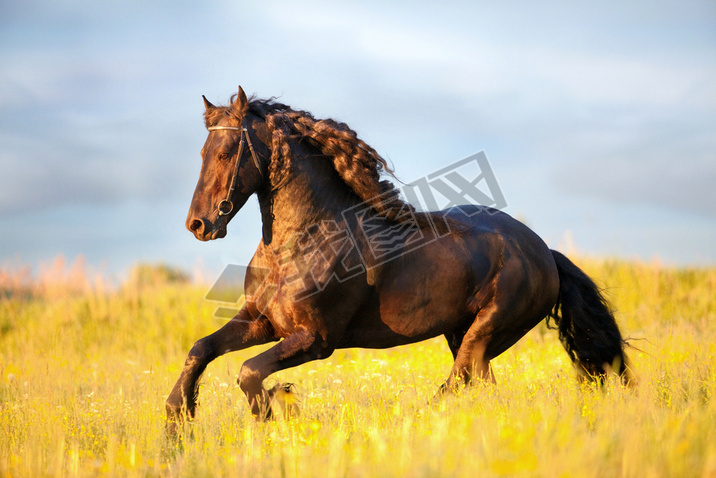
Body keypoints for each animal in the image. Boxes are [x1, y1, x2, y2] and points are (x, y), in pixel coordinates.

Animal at [166, 86, 632, 434]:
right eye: (203, 153)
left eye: (227, 152)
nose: (199, 224)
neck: (301, 242)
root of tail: (543, 252)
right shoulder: (263, 321)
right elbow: (200, 350)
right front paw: (177, 422)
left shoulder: (316, 339)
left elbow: (248, 371)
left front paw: (276, 411)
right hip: (462, 335)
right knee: (479, 387)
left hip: (486, 332)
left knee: (457, 383)